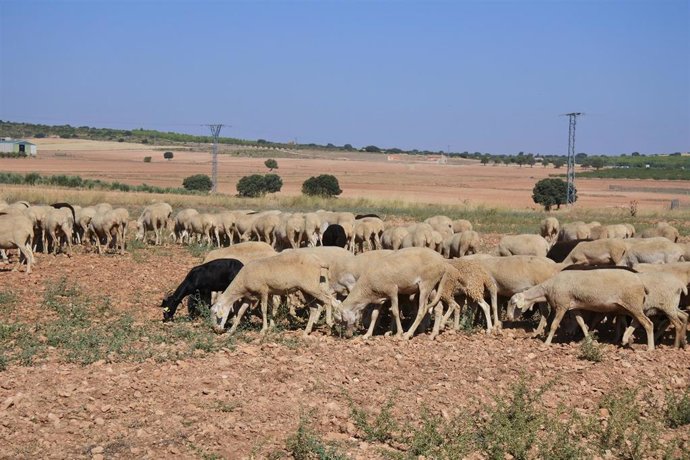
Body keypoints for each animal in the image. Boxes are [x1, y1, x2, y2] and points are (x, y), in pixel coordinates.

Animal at [210, 251, 339, 337]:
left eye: (216, 313)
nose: (216, 330)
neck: (242, 282)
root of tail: (319, 261)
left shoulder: (263, 291)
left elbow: (264, 310)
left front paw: (264, 330)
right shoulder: (249, 297)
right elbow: (241, 312)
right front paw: (231, 330)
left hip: (311, 286)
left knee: (328, 300)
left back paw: (329, 323)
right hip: (306, 289)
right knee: (314, 308)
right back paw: (307, 331)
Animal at [507, 269, 654, 350]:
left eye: (513, 303)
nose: (508, 317)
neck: (548, 288)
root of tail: (642, 284)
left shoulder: (562, 305)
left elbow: (554, 325)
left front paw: (547, 343)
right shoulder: (573, 307)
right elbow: (581, 323)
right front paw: (588, 339)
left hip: (632, 303)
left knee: (648, 323)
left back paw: (650, 348)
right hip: (629, 306)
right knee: (637, 321)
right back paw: (625, 338)